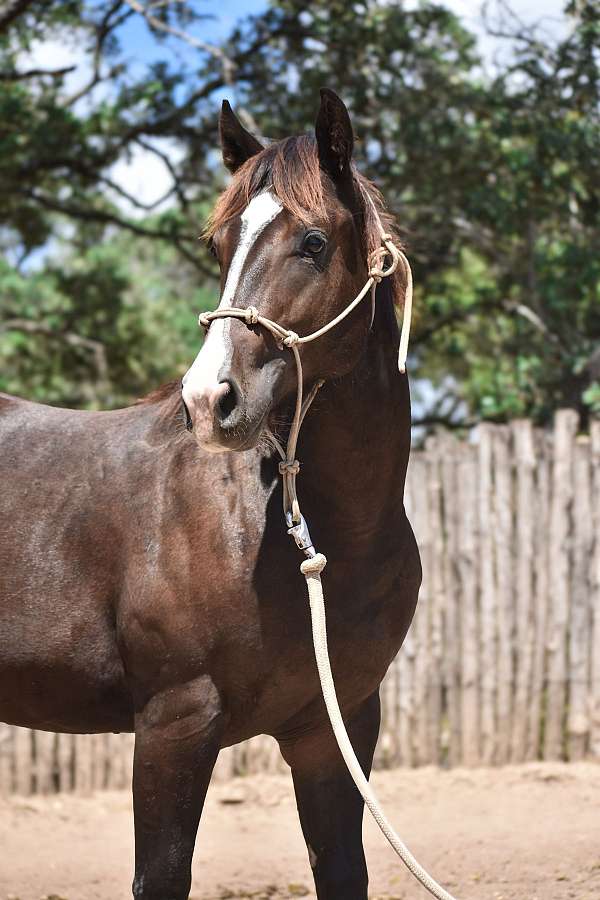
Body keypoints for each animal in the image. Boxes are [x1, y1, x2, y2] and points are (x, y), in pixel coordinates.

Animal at [0, 88, 421, 900]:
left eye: (313, 242)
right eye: (220, 246)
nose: (208, 400)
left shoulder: (338, 729)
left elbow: (341, 870)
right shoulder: (176, 723)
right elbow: (162, 876)